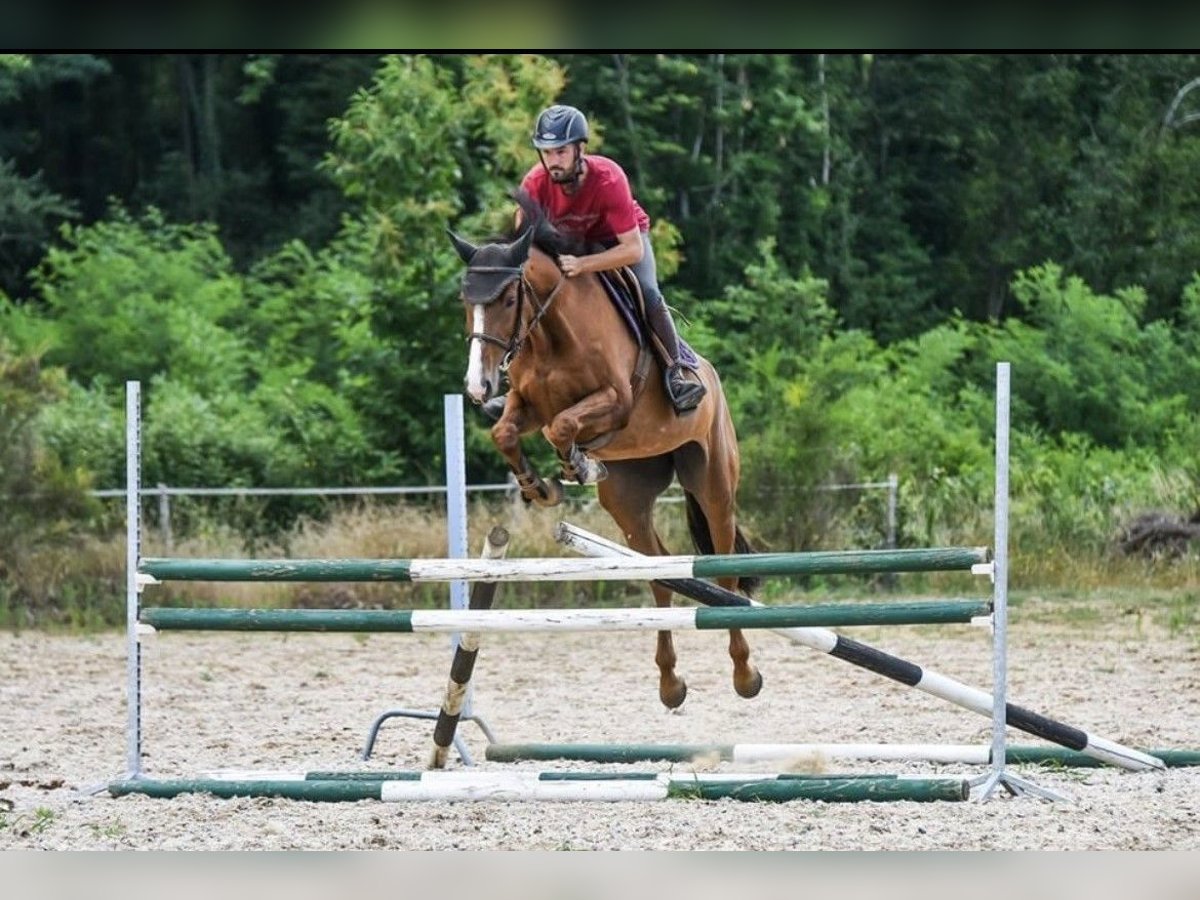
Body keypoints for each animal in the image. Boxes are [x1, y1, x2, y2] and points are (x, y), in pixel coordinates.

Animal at [446, 199, 763, 710]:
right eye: (465, 302)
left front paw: (577, 463)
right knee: (659, 574)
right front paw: (542, 486)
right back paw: (670, 684)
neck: (550, 334)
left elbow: (563, 424)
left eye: (508, 301)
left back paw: (744, 673)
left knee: (727, 574)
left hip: (713, 481)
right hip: (628, 500)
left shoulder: (615, 400)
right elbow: (505, 431)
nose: (478, 387)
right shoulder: (526, 404)